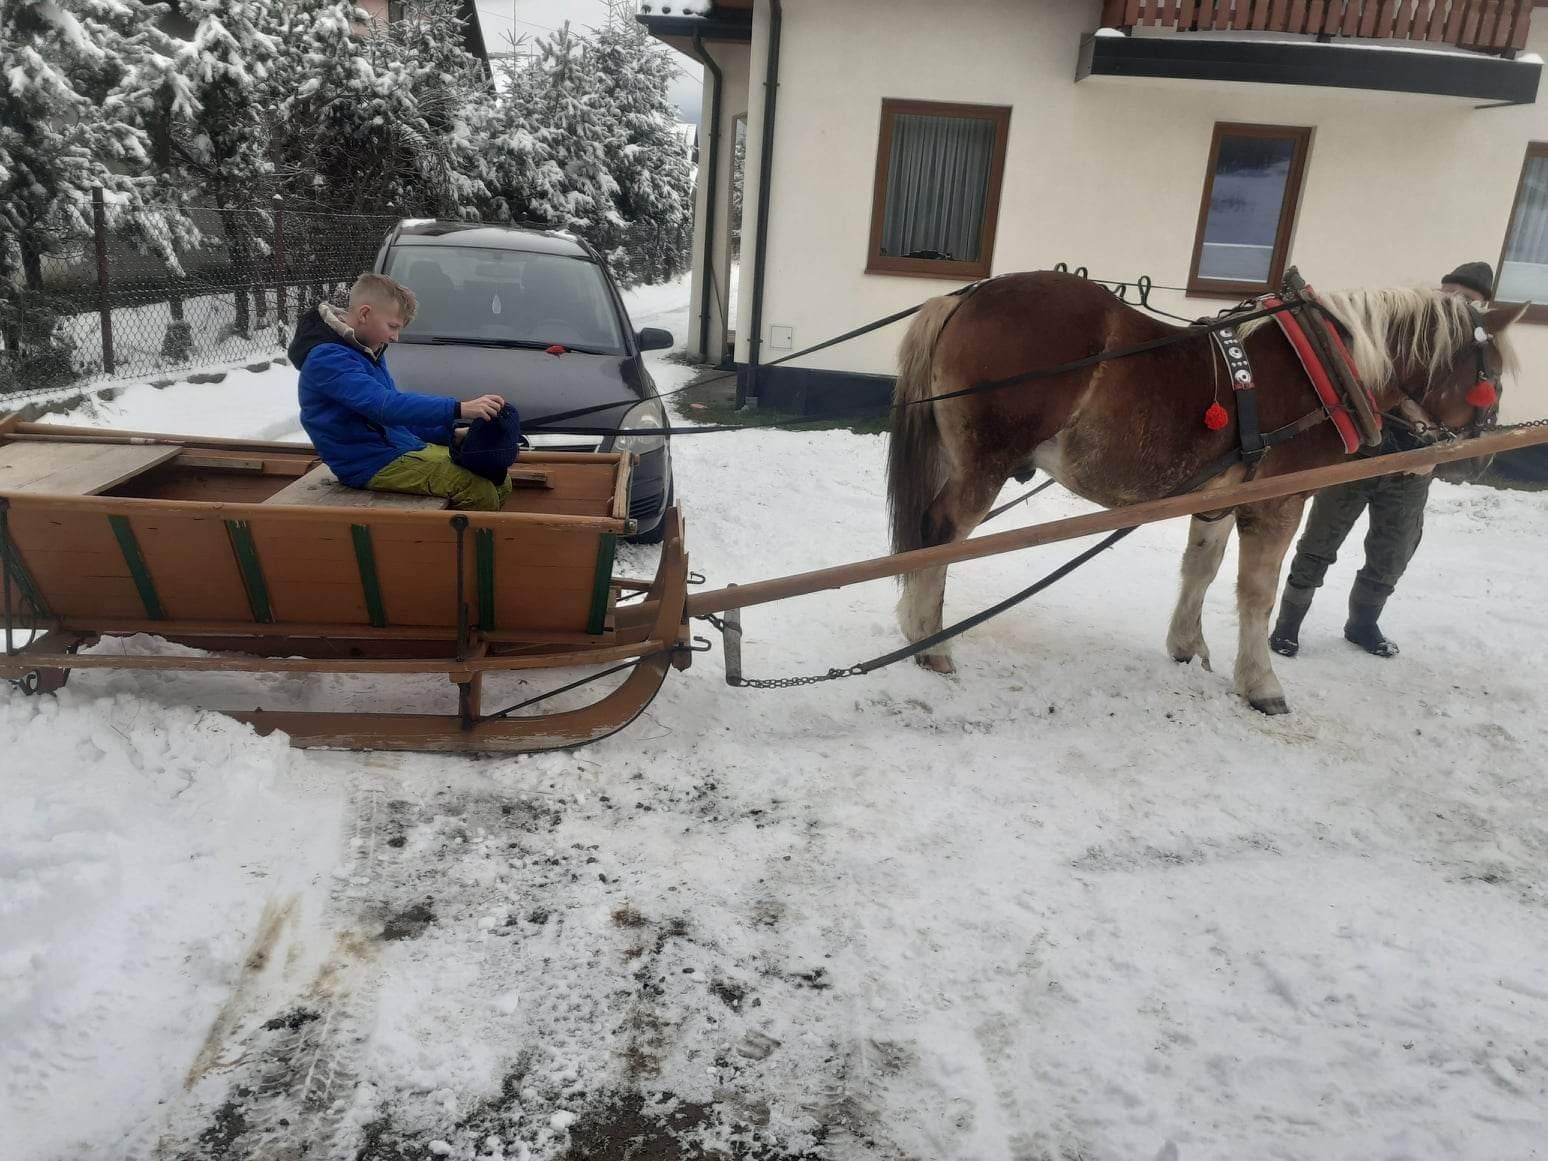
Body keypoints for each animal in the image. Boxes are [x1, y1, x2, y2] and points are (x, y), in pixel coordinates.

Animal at [891, 267, 1517, 715]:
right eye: (1490, 372)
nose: (1482, 457)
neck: (1322, 370)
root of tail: (965, 298)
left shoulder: (1217, 499)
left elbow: (1202, 568)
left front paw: (1187, 647)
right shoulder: (1277, 502)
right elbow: (1257, 592)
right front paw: (1262, 684)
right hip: (985, 462)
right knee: (942, 532)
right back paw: (931, 644)